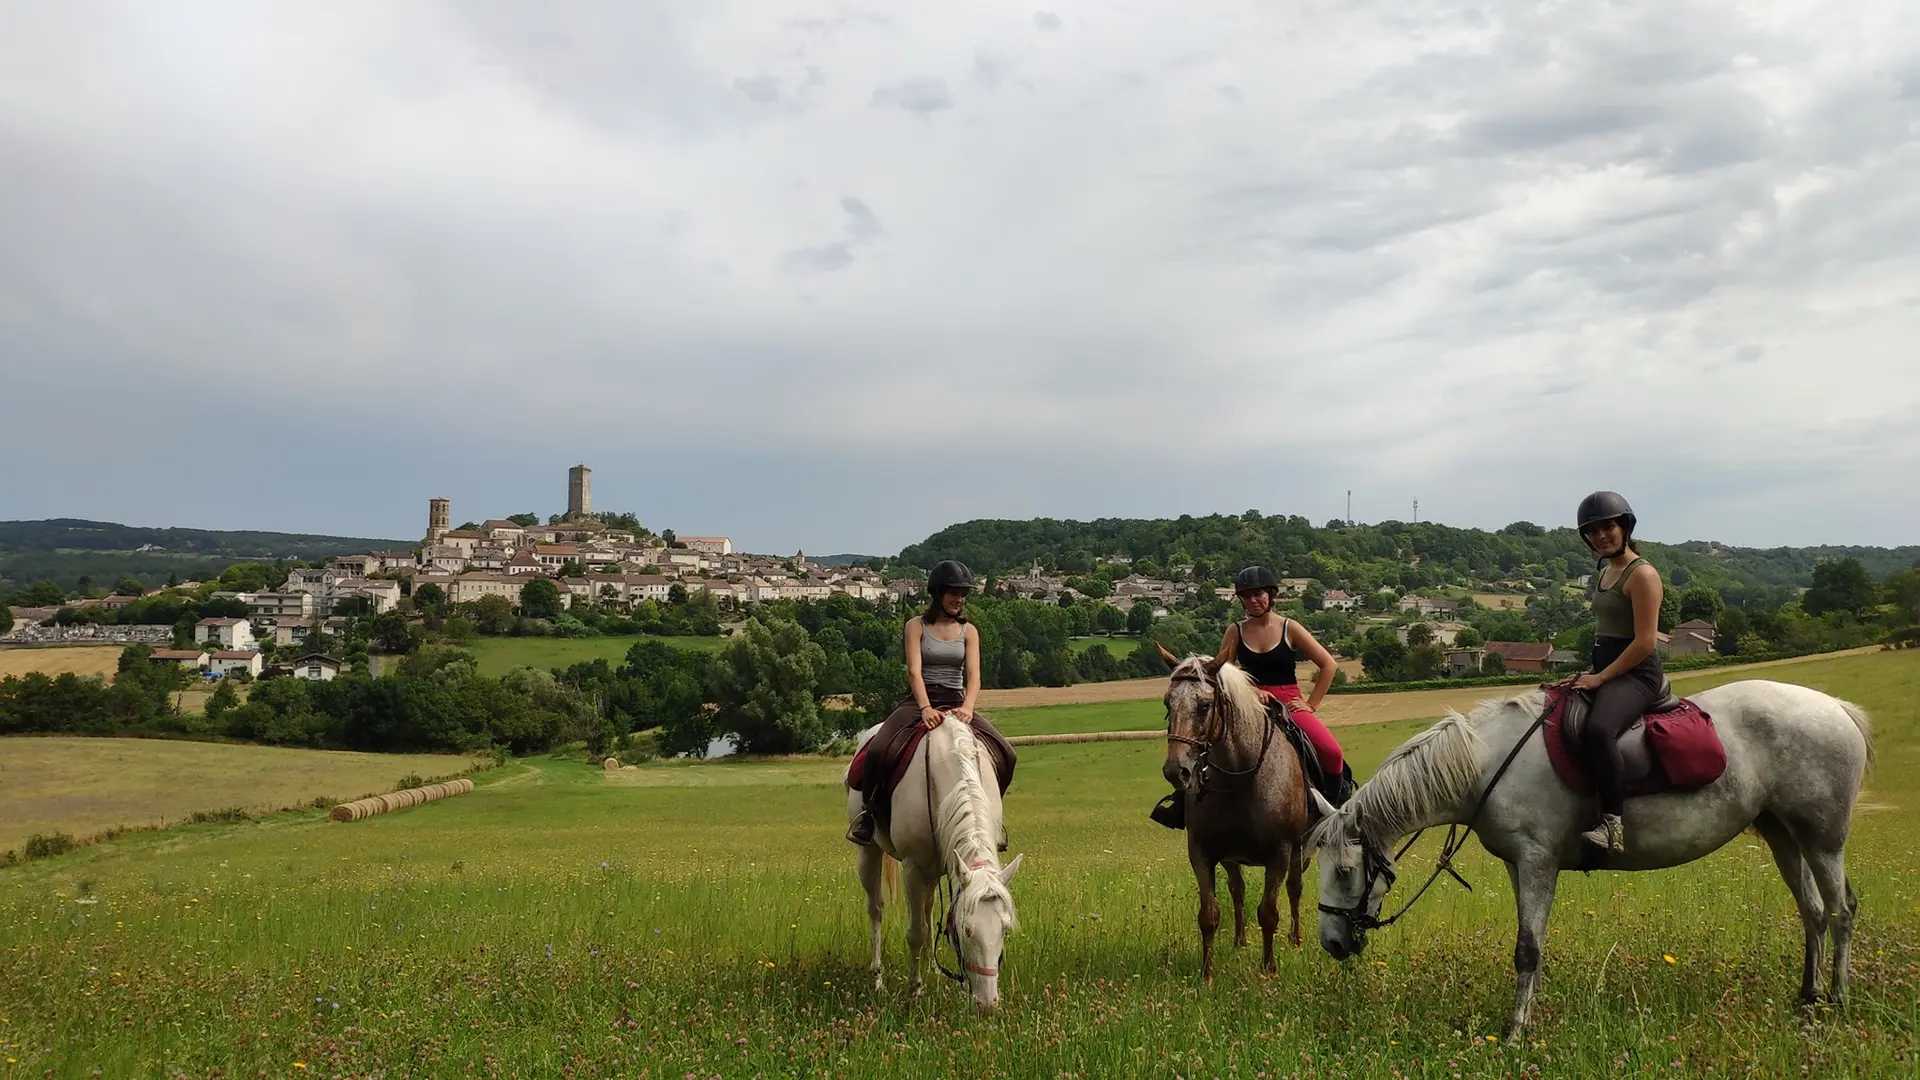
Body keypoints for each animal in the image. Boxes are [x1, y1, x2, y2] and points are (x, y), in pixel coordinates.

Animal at [848, 714, 1029, 1006]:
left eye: (1005, 929)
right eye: (966, 930)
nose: (987, 1003)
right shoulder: (912, 868)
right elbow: (916, 931)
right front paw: (915, 989)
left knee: (929, 906)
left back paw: (932, 967)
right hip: (869, 852)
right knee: (876, 908)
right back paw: (877, 978)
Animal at [1152, 641, 1320, 980]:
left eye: (1205, 705)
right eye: (1167, 703)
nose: (1177, 771)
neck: (1239, 776)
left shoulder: (1280, 853)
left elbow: (1269, 913)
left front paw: (1269, 969)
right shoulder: (1201, 852)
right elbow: (1209, 914)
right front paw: (1207, 974)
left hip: (1299, 848)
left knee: (1294, 889)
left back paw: (1295, 939)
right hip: (1231, 857)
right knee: (1237, 890)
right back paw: (1239, 941)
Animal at [1313, 676, 1866, 1030]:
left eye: (1344, 871)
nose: (1332, 945)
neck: (1486, 763)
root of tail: (1838, 708)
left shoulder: (1537, 859)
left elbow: (1527, 948)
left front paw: (1515, 1030)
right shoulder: (1519, 865)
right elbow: (1532, 945)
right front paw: (1530, 1013)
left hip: (1822, 838)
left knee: (1841, 910)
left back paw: (1838, 1003)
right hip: (1782, 834)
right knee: (1812, 912)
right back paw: (1808, 997)